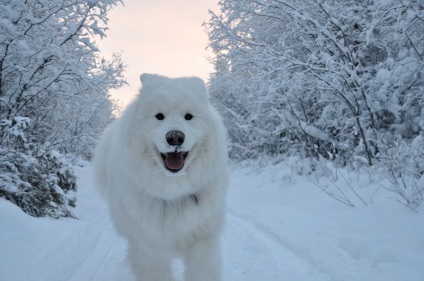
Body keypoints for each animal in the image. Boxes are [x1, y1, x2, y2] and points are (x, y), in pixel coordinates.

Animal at [93, 73, 229, 278]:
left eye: (188, 116)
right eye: (159, 116)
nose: (175, 137)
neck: (172, 193)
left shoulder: (203, 243)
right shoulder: (149, 251)